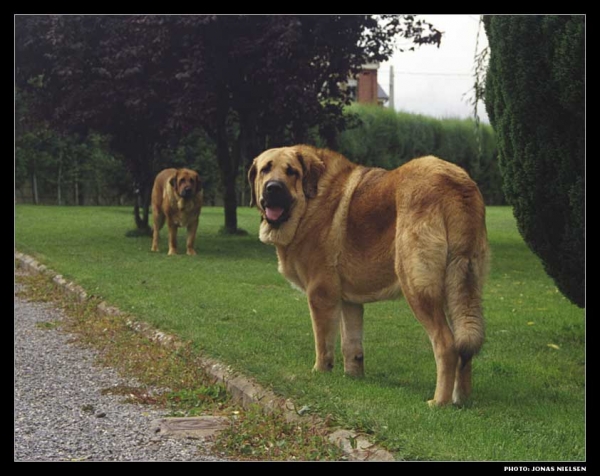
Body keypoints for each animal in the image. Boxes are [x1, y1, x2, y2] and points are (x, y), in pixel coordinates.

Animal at [248, 144, 488, 406]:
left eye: (292, 172)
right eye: (265, 169)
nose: (273, 187)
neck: (309, 203)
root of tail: (456, 183)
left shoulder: (320, 294)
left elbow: (323, 342)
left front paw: (320, 372)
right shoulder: (349, 302)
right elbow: (351, 344)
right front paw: (353, 377)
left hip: (418, 287)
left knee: (446, 344)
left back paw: (439, 402)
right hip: (460, 289)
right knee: (464, 347)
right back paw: (460, 399)